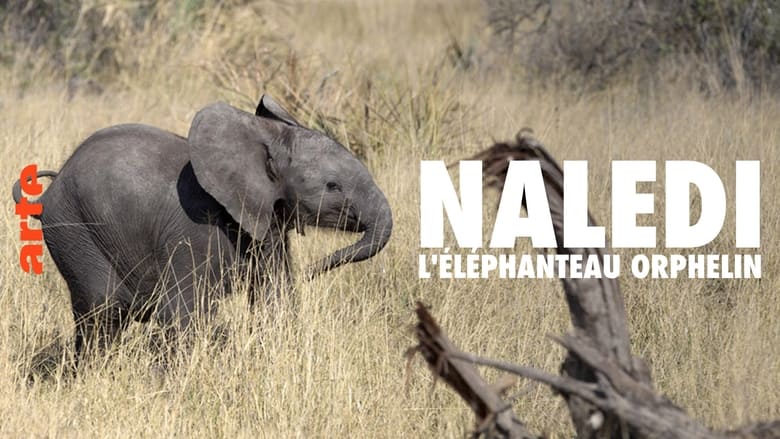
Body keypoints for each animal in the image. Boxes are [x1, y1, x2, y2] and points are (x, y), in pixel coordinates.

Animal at [11, 95, 393, 361]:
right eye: (332, 186)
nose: (314, 270)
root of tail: (51, 188)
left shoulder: (266, 223)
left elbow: (275, 299)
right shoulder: (195, 228)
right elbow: (183, 312)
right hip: (73, 229)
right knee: (105, 309)